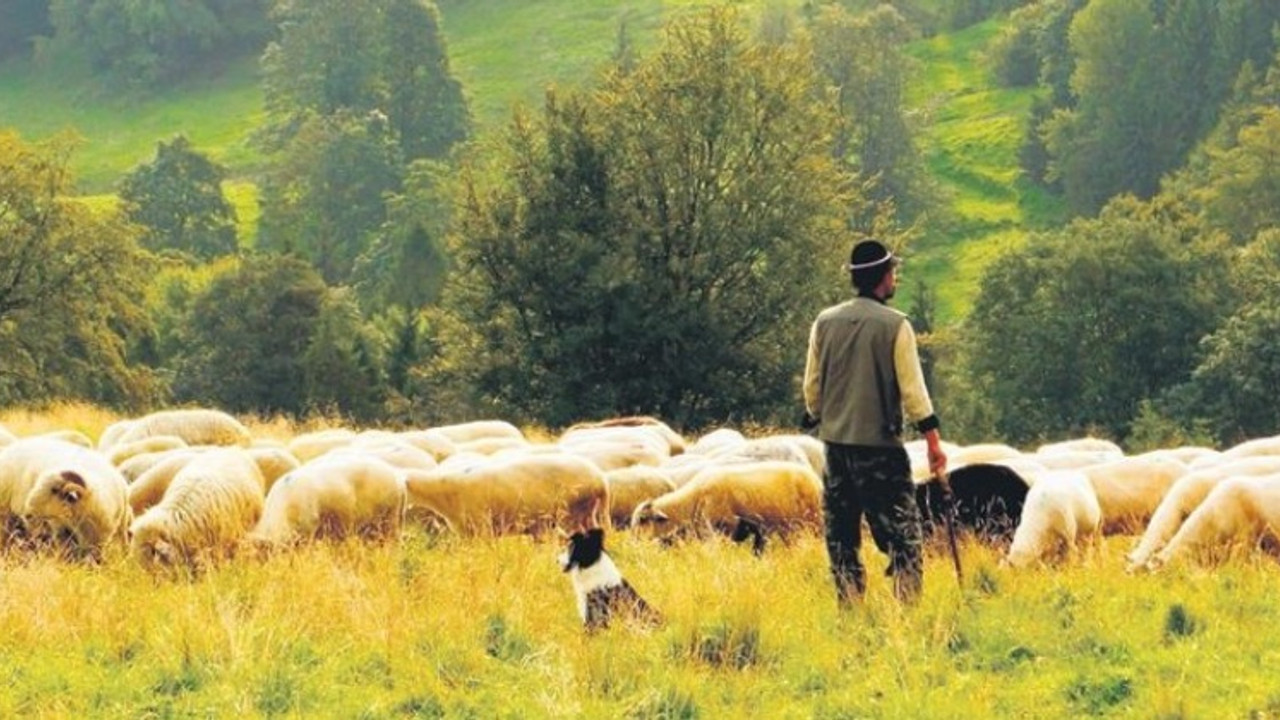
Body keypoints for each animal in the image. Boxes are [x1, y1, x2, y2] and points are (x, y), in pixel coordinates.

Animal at [627, 456, 824, 550]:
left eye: (643, 520)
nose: (633, 545)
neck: (692, 502)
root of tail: (815, 480)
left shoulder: (725, 528)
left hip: (811, 522)